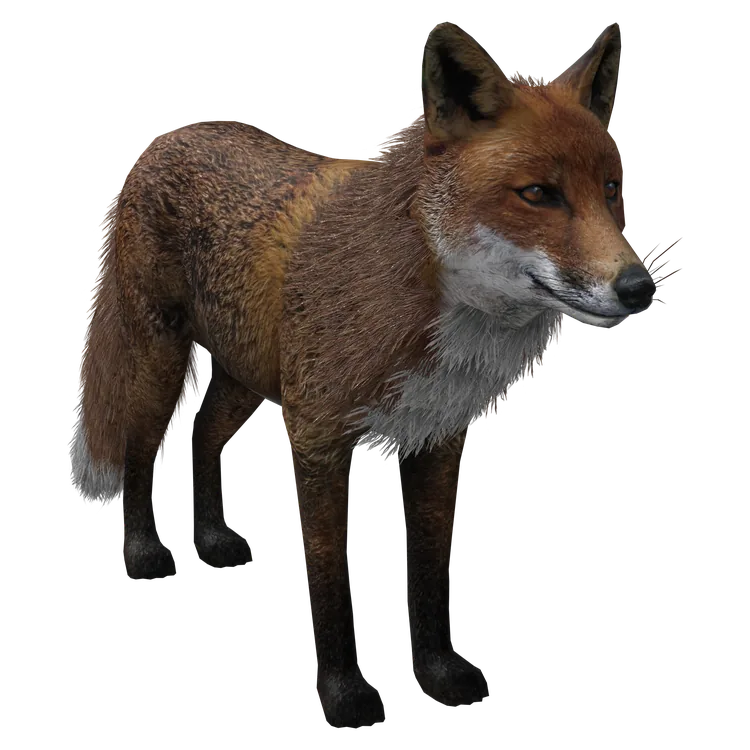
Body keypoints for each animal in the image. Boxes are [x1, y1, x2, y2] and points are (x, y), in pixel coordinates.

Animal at [70, 20, 655, 727]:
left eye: (612, 189)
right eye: (538, 194)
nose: (641, 287)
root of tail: (169, 135)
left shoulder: (436, 437)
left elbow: (430, 571)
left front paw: (439, 676)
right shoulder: (316, 439)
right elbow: (330, 577)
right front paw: (346, 695)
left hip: (248, 377)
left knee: (203, 435)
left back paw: (211, 537)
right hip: (162, 361)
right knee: (142, 447)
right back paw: (143, 553)